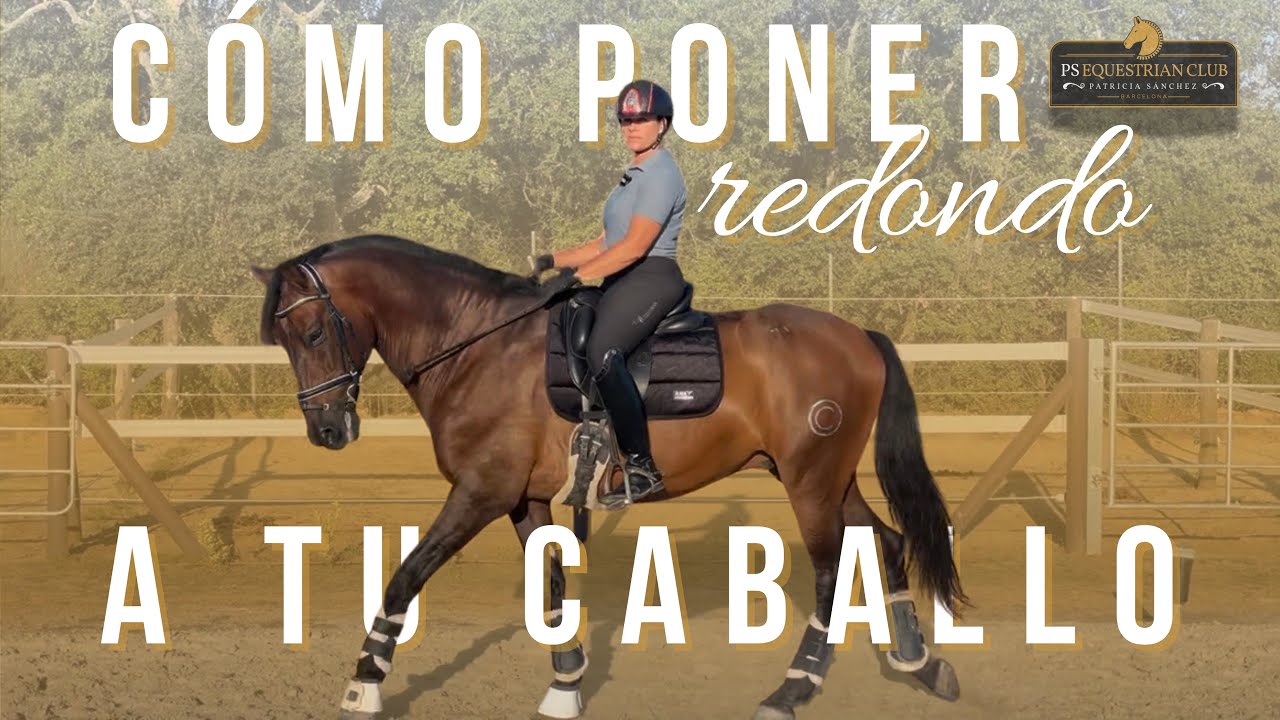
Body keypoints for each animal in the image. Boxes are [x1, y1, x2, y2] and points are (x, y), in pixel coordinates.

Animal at [250, 234, 966, 719]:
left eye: (313, 332)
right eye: (283, 342)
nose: (327, 431)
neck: (478, 346)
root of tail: (857, 335)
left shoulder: (481, 492)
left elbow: (406, 575)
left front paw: (364, 682)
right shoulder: (524, 499)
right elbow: (550, 586)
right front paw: (567, 684)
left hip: (810, 481)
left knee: (829, 571)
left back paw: (794, 688)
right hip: (828, 478)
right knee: (887, 542)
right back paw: (922, 664)